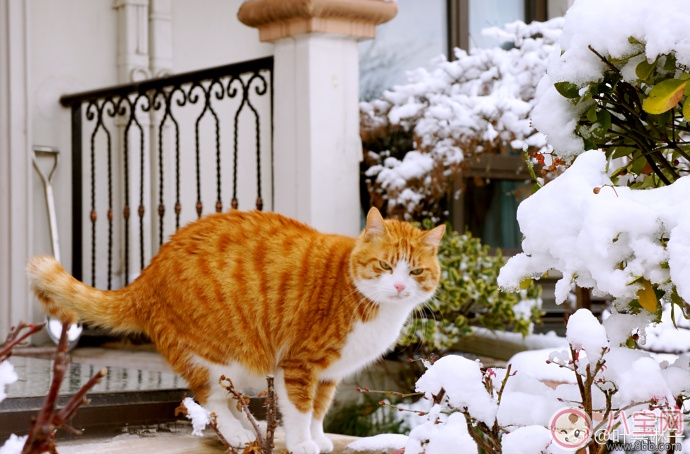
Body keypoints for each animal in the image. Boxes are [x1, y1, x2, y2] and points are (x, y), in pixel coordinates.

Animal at [26, 207, 444, 452]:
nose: (400, 287)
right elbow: (299, 409)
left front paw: (319, 438)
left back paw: (250, 426)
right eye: (385, 266)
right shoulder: (300, 366)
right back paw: (240, 432)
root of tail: (146, 275)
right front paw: (301, 443)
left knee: (229, 400)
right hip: (217, 356)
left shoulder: (328, 375)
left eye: (415, 271)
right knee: (208, 399)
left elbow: (318, 410)